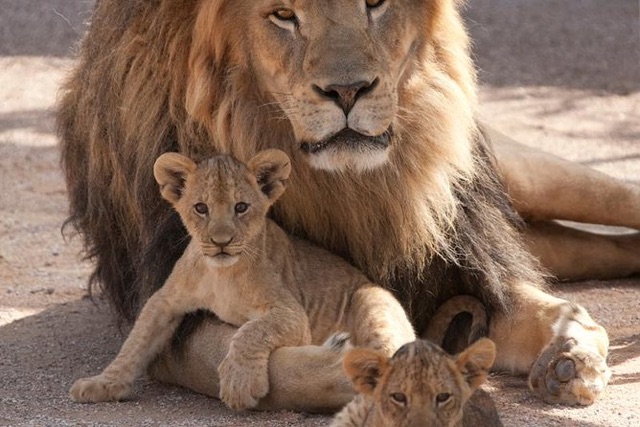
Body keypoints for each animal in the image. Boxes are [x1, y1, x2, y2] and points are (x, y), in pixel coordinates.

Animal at [58, 0, 636, 412]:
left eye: (375, 2)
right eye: (283, 15)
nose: (349, 91)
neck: (355, 191)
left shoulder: (465, 270)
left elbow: (547, 309)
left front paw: (571, 353)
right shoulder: (169, 310)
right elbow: (265, 362)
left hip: (533, 176)